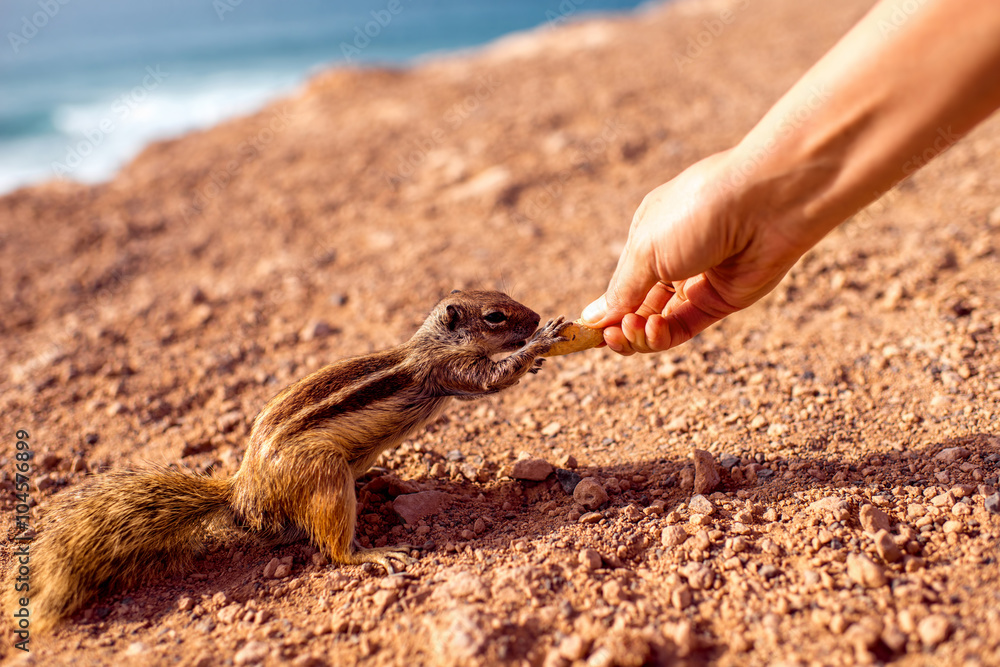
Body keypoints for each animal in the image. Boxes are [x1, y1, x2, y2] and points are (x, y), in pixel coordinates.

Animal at [11, 290, 572, 632]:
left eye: (504, 296)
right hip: (324, 475)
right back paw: (376, 554)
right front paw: (542, 343)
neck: (426, 343)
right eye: (495, 316)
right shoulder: (451, 369)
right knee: (334, 548)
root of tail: (242, 493)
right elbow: (491, 379)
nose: (534, 319)